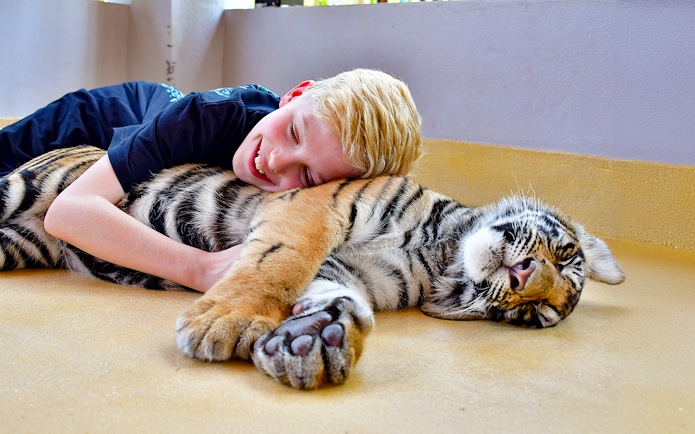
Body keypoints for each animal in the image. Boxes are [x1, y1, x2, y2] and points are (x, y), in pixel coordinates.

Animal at [0, 145, 625, 389]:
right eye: (564, 256)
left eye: (532, 315)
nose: (524, 280)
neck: (437, 254)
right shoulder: (314, 208)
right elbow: (278, 262)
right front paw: (220, 324)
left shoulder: (357, 273)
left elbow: (330, 292)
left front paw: (317, 340)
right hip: (16, 191)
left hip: (18, 243)